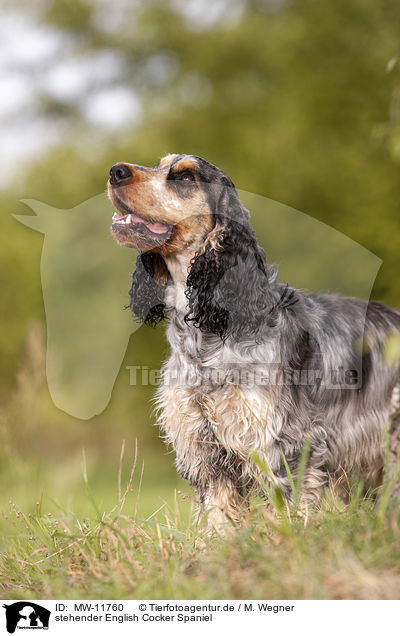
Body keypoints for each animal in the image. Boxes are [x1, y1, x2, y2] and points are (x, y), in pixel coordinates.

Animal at [108, 154, 400, 528]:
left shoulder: (285, 445)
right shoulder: (207, 453)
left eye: (186, 177)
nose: (116, 171)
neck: (207, 336)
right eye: (159, 164)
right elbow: (219, 519)